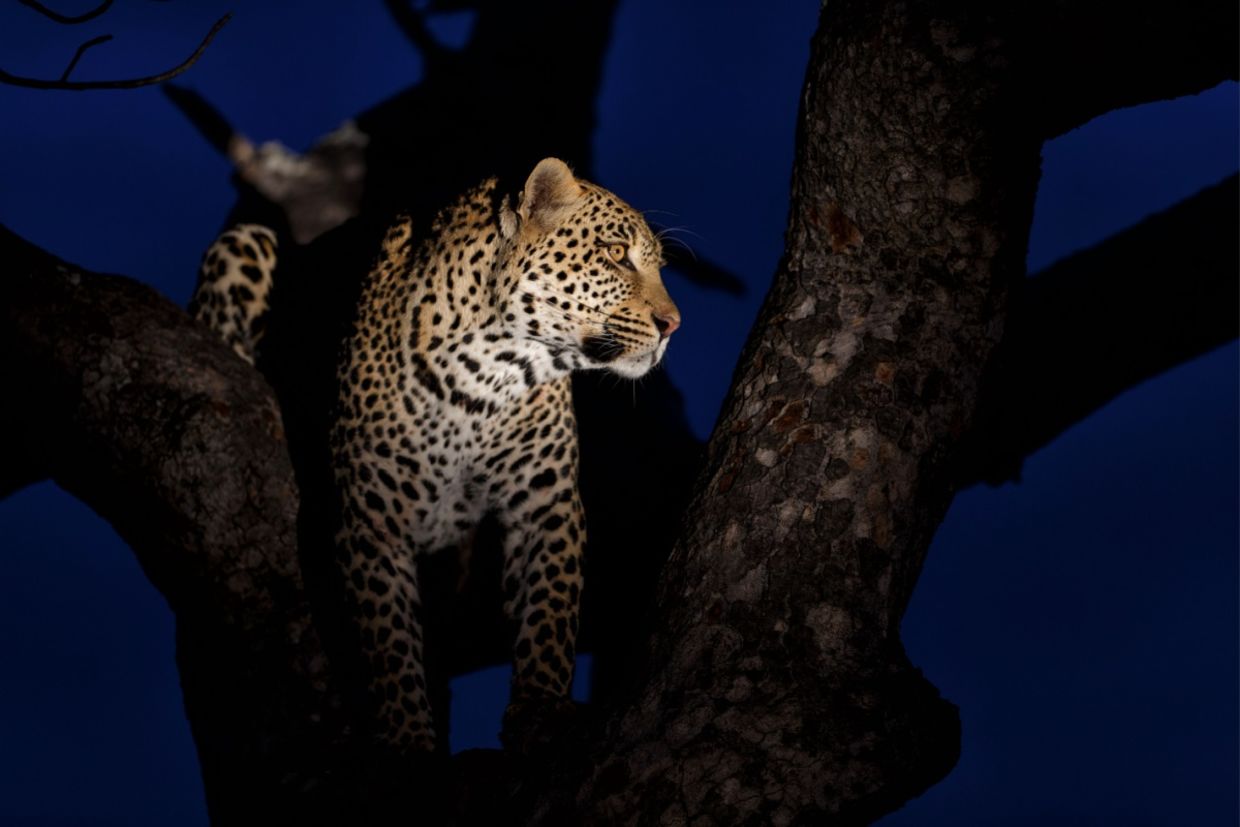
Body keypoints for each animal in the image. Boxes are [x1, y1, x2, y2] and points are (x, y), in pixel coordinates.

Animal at [191, 158, 680, 755]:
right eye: (615, 254)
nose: (673, 325)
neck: (488, 374)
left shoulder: (546, 502)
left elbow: (549, 611)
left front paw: (540, 709)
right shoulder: (371, 518)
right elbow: (390, 648)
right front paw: (408, 738)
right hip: (243, 241)